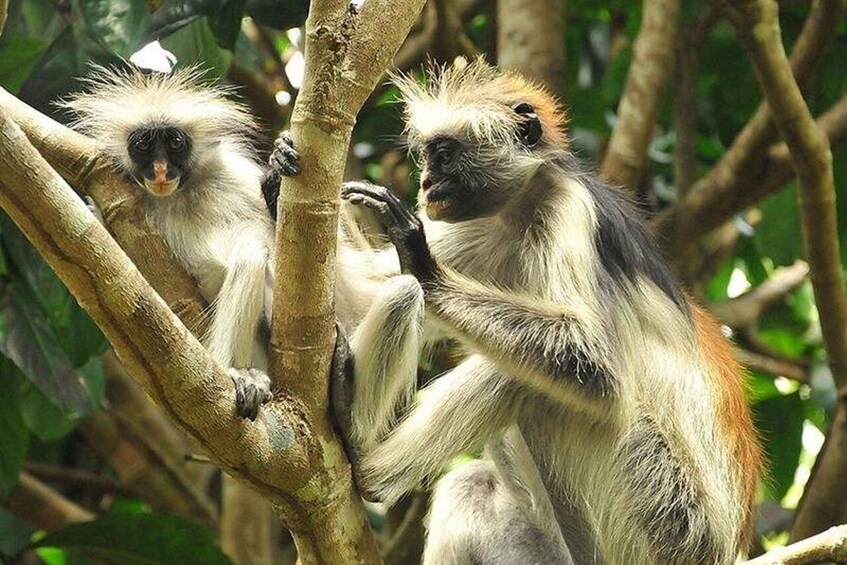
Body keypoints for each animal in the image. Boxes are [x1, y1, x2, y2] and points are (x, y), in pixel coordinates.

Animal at [274, 60, 762, 564]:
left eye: (444, 155)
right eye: (426, 158)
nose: (426, 184)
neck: (522, 210)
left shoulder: (570, 210)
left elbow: (597, 361)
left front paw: (423, 265)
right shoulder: (480, 228)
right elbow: (358, 293)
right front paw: (275, 179)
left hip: (664, 508)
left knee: (530, 378)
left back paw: (364, 459)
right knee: (474, 482)